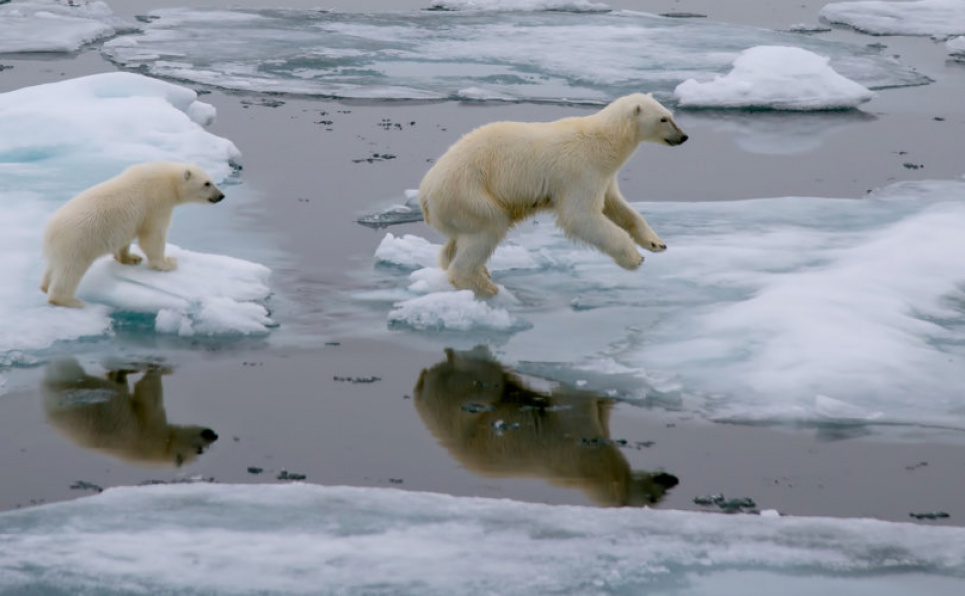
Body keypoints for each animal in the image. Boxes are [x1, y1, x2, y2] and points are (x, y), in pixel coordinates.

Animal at [41, 161, 224, 308]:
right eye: (207, 183)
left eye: (211, 180)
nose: (221, 196)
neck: (167, 178)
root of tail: (49, 232)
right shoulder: (157, 202)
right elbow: (153, 235)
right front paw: (168, 262)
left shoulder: (130, 221)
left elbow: (126, 238)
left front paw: (131, 258)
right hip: (77, 242)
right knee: (70, 271)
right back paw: (69, 300)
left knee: (53, 266)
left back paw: (44, 286)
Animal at [420, 92, 684, 296]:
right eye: (664, 118)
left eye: (671, 114)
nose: (683, 136)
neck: (604, 141)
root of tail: (425, 194)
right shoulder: (579, 170)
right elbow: (580, 216)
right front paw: (635, 258)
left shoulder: (604, 175)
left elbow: (617, 206)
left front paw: (656, 242)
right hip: (470, 193)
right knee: (488, 228)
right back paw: (485, 286)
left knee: (458, 240)